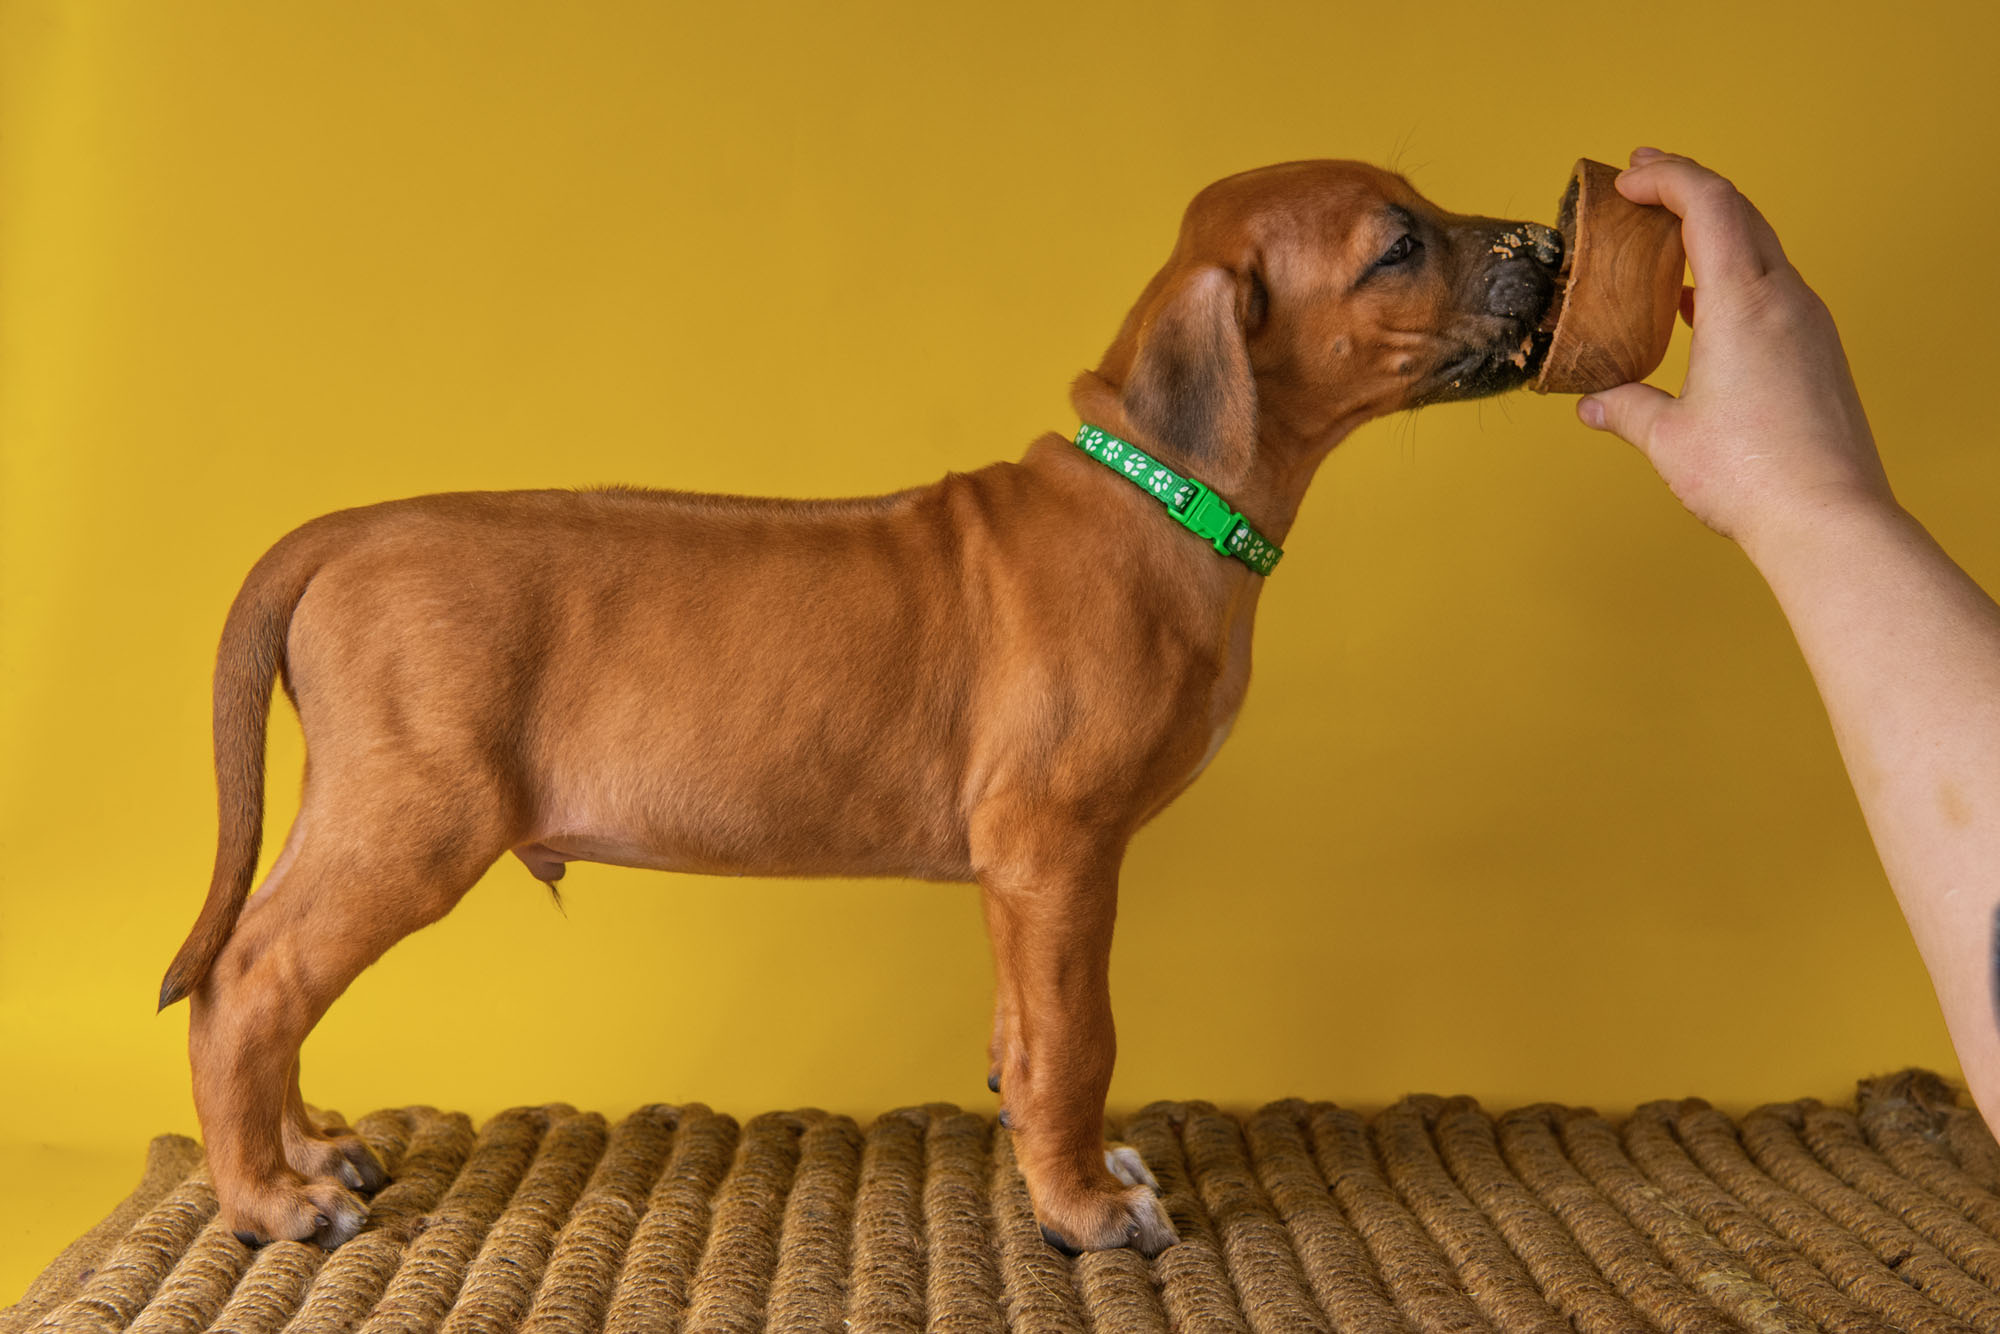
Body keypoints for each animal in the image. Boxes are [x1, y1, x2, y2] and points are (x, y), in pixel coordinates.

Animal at [158, 159, 1563, 1254]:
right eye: (1396, 243)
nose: (1552, 245)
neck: (1160, 495)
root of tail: (343, 533)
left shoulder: (1022, 874)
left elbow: (1026, 1029)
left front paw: (1059, 1161)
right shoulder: (1058, 843)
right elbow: (1081, 1035)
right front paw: (1084, 1210)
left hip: (359, 808)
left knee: (265, 967)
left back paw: (305, 1149)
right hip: (415, 816)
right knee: (248, 981)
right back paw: (269, 1200)